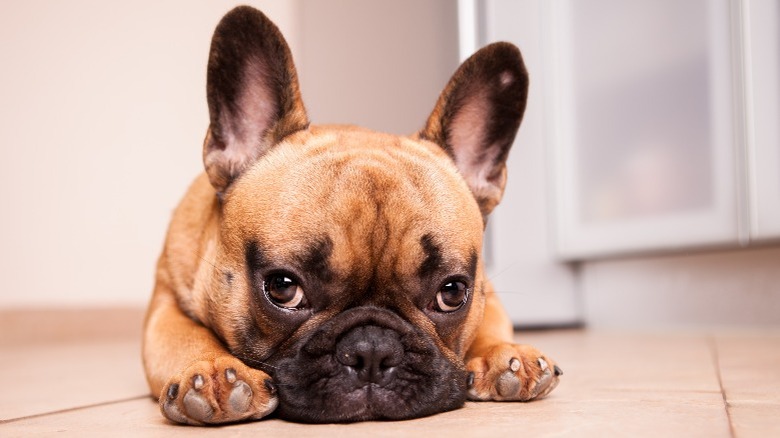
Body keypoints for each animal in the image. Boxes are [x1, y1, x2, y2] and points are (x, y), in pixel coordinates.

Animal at [143, 5, 560, 426]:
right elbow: (184, 336)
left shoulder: (489, 294)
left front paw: (502, 352)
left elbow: (490, 322)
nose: (372, 350)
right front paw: (213, 370)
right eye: (283, 288)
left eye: (452, 293)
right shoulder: (165, 308)